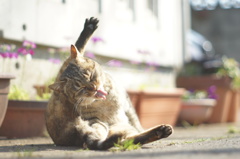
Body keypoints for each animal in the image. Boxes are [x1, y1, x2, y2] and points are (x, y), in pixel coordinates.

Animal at [45, 17, 172, 150]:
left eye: (90, 75)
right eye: (81, 88)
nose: (93, 87)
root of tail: (77, 132)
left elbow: (78, 46)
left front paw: (89, 27)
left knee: (126, 140)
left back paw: (160, 132)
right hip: (98, 124)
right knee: (106, 142)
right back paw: (161, 131)